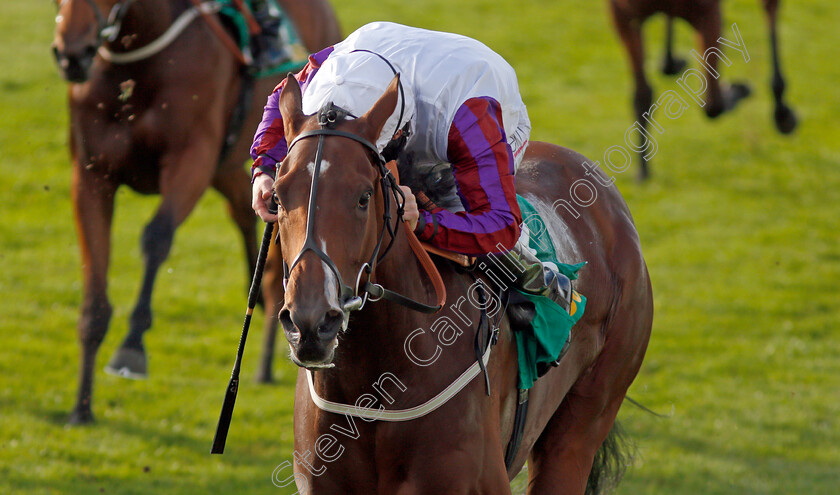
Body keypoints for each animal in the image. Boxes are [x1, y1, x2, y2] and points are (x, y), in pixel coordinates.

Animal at [50, 0, 340, 426]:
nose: (72, 53)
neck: (137, 60)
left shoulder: (192, 160)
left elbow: (157, 236)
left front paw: (131, 348)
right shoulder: (91, 178)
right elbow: (95, 289)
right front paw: (82, 406)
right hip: (232, 170)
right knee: (248, 222)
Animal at [612, 0, 796, 178]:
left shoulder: (708, 13)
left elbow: (713, 104)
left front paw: (737, 90)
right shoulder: (623, 15)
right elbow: (642, 94)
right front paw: (642, 171)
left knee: (769, 8)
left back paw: (782, 111)